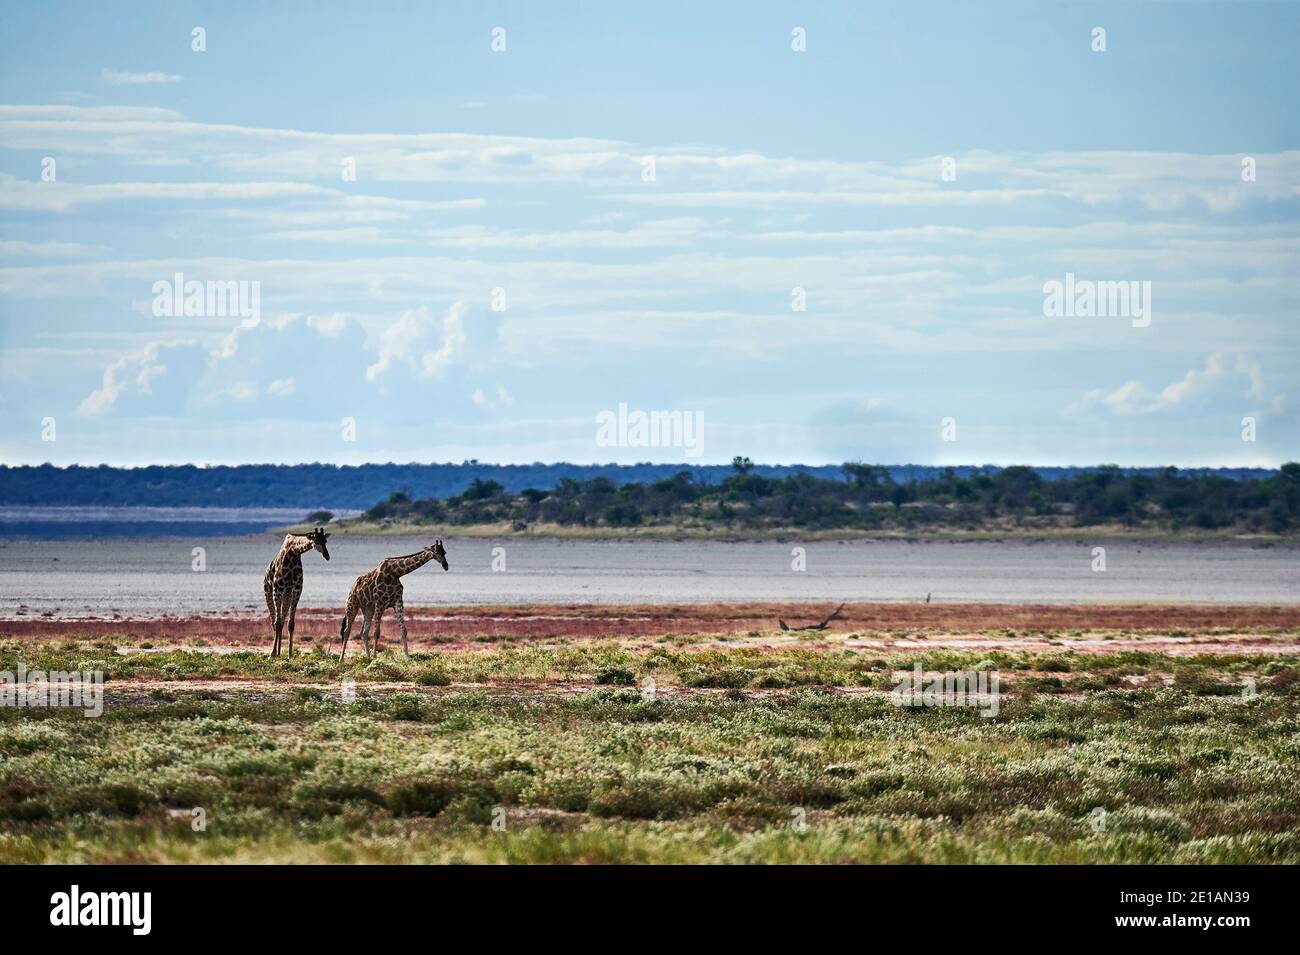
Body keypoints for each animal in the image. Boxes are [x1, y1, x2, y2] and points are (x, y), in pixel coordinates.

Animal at [263, 527, 330, 658]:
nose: (327, 556)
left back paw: (279, 653)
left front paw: (290, 654)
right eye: (316, 541)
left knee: (282, 620)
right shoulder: (277, 590)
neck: (293, 553)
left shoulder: (296, 590)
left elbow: (291, 624)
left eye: (325, 541)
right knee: (274, 622)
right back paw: (274, 653)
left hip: (286, 596)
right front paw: (272, 654)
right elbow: (277, 623)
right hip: (269, 593)